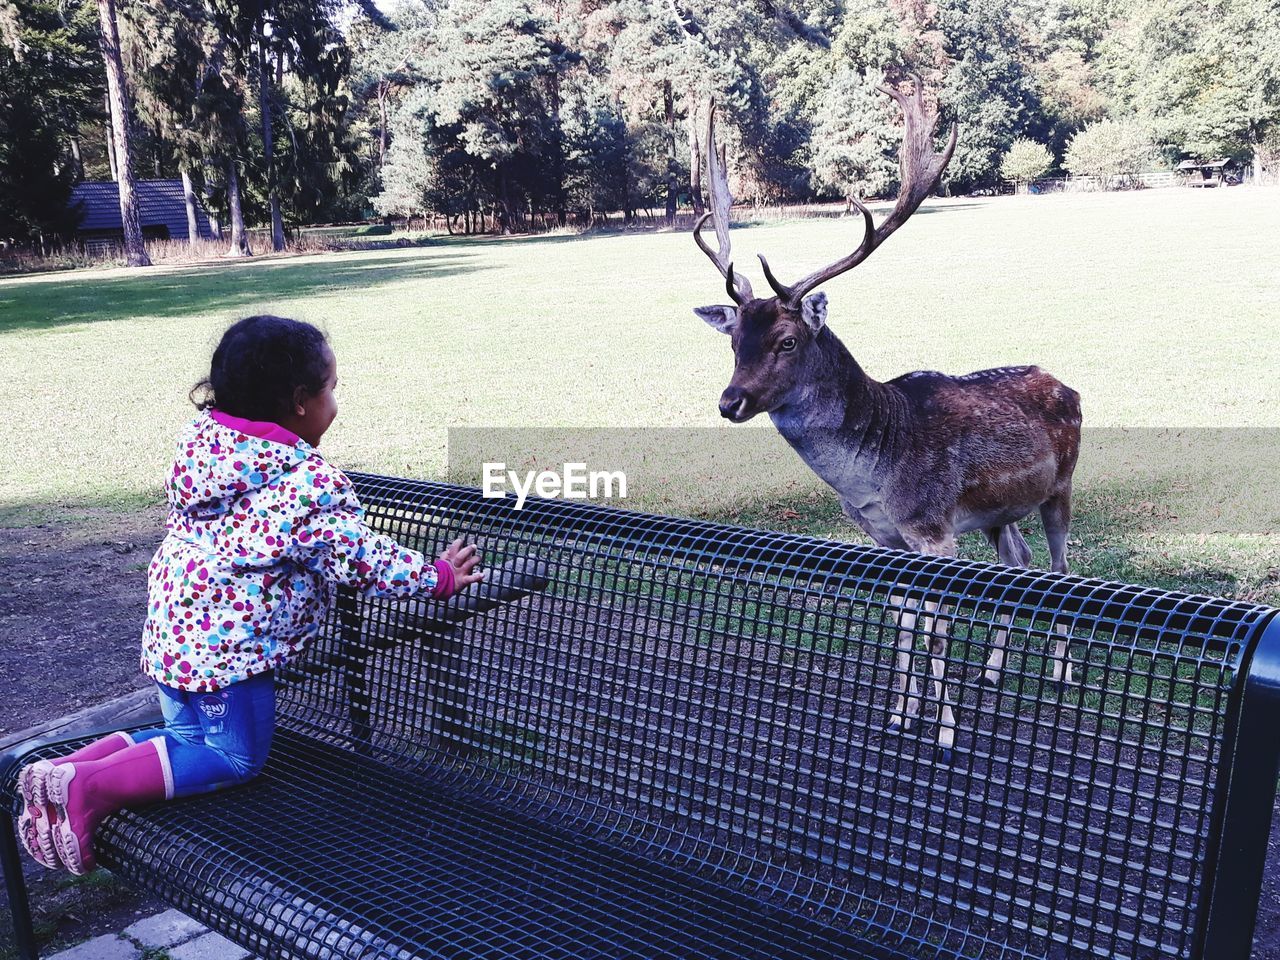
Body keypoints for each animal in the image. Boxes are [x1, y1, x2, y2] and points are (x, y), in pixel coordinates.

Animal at [691, 79, 1080, 762]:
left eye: (787, 340)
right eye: (734, 339)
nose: (729, 401)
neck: (873, 473)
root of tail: (1068, 385)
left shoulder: (933, 529)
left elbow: (935, 628)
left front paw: (945, 730)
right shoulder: (884, 536)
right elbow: (901, 618)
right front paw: (901, 715)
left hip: (1060, 486)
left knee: (1060, 567)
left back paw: (1057, 672)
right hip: (999, 512)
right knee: (1021, 562)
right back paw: (993, 671)